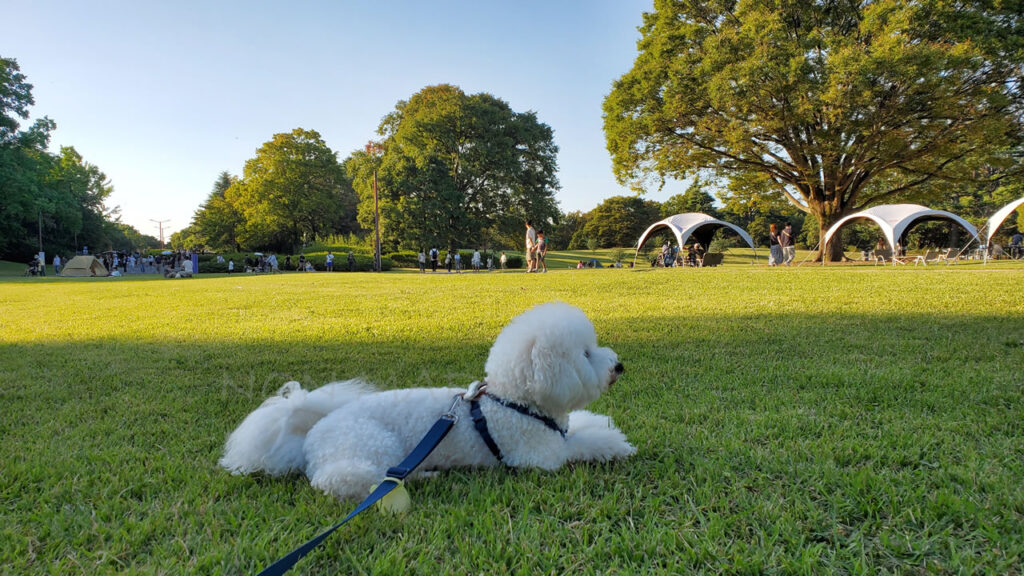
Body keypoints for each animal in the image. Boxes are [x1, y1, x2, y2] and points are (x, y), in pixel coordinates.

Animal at [219, 301, 630, 498]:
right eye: (585, 354)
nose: (619, 366)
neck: (513, 401)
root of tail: (309, 429)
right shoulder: (540, 457)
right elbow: (582, 445)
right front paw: (616, 445)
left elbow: (584, 426)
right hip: (372, 445)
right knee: (345, 480)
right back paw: (423, 477)